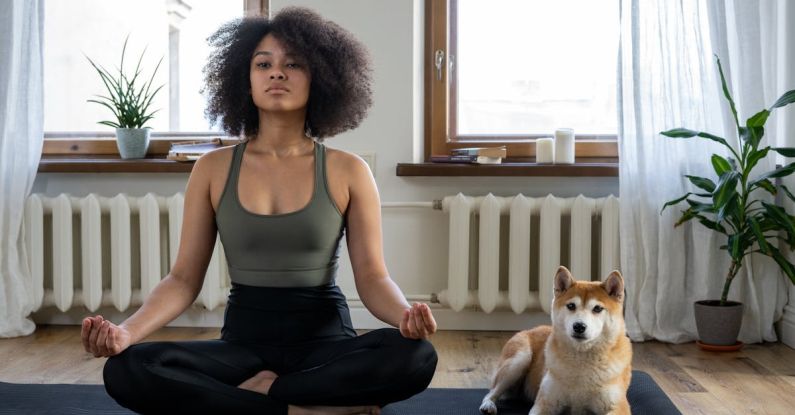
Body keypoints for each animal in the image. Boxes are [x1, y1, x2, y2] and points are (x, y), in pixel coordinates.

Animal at [482, 266, 632, 415]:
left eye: (598, 308)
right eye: (571, 306)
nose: (579, 326)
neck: (581, 362)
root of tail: (528, 330)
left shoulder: (618, 406)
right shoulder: (544, 403)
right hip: (519, 360)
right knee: (492, 392)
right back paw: (488, 405)